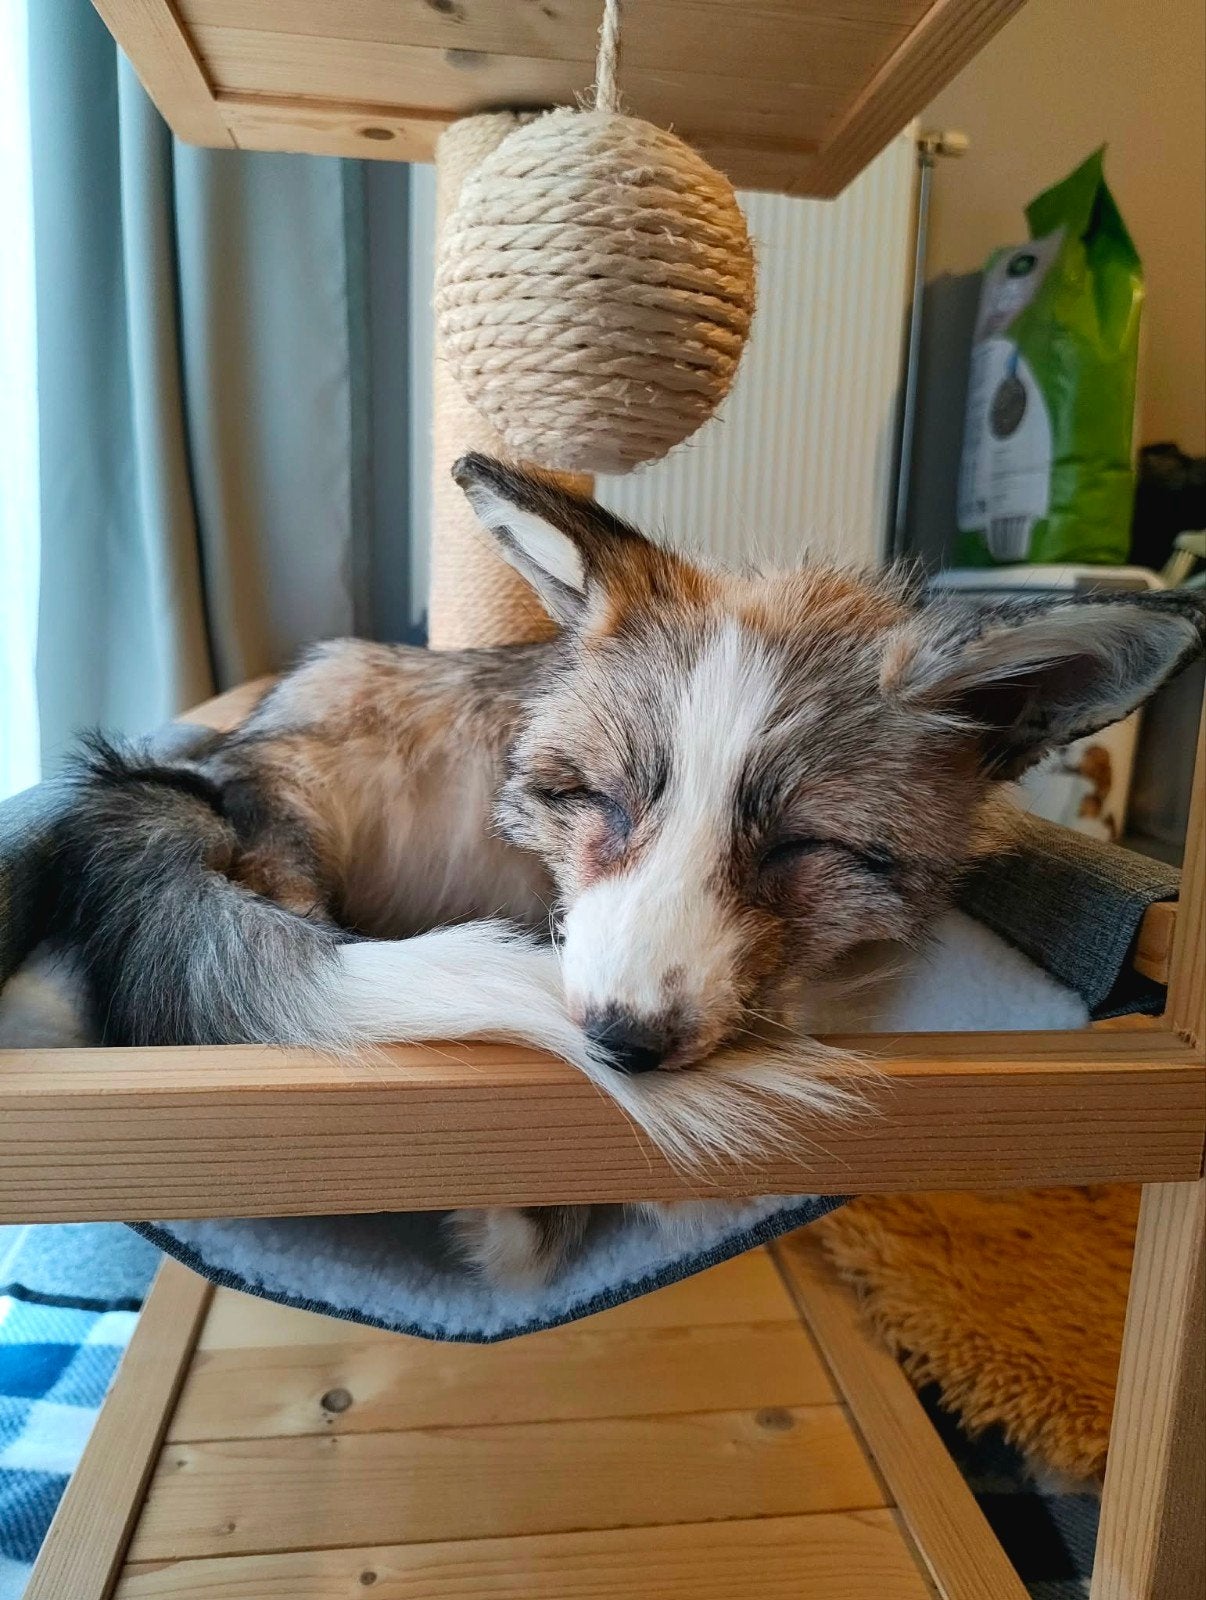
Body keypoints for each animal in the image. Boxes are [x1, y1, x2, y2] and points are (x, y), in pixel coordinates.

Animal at [25, 454, 1206, 1284]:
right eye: (599, 798)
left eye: (802, 848)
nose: (620, 1041)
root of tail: (204, 771)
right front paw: (527, 1221)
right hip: (308, 795)